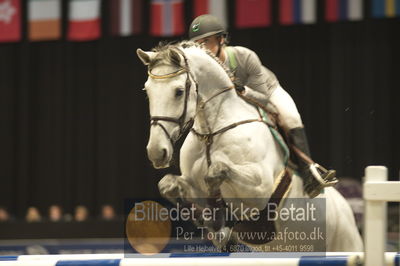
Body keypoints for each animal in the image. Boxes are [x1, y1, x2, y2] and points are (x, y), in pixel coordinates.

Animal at [137, 41, 362, 251]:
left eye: (179, 91)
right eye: (147, 91)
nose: (156, 152)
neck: (211, 133)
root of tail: (347, 208)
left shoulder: (260, 190)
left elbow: (217, 171)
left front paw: (218, 223)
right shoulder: (193, 183)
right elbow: (168, 185)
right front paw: (209, 223)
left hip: (345, 242)